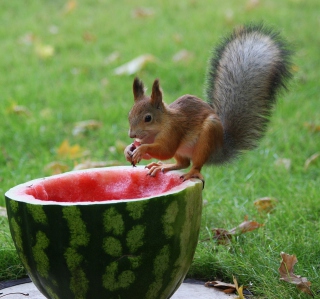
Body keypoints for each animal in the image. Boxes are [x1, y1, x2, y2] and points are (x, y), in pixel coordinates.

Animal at [123, 24, 292, 184]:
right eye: (129, 115)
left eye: (148, 118)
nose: (132, 134)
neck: (157, 129)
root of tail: (219, 149)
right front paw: (129, 149)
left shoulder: (174, 131)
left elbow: (166, 150)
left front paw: (141, 149)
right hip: (183, 151)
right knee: (183, 163)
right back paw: (163, 166)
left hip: (206, 139)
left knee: (195, 164)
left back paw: (191, 173)